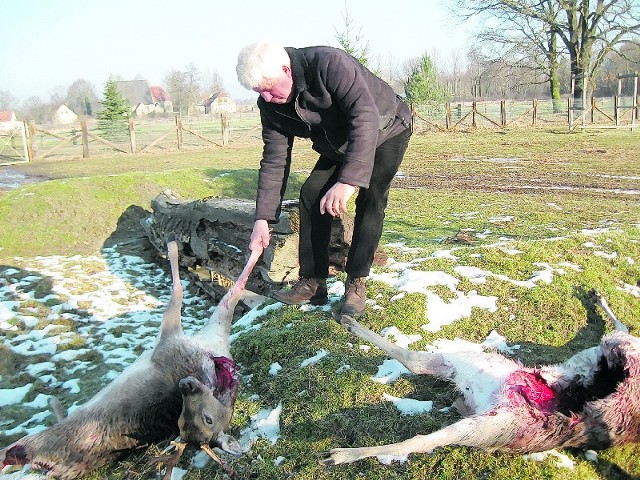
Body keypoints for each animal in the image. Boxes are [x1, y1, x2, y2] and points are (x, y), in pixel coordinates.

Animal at [1, 238, 262, 478]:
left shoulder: (171, 340)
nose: (185, 383)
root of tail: (51, 467)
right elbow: (220, 289)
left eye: (207, 419)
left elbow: (196, 289)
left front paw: (173, 245)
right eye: (180, 418)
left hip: (31, 443)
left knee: (10, 451)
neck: (218, 365)